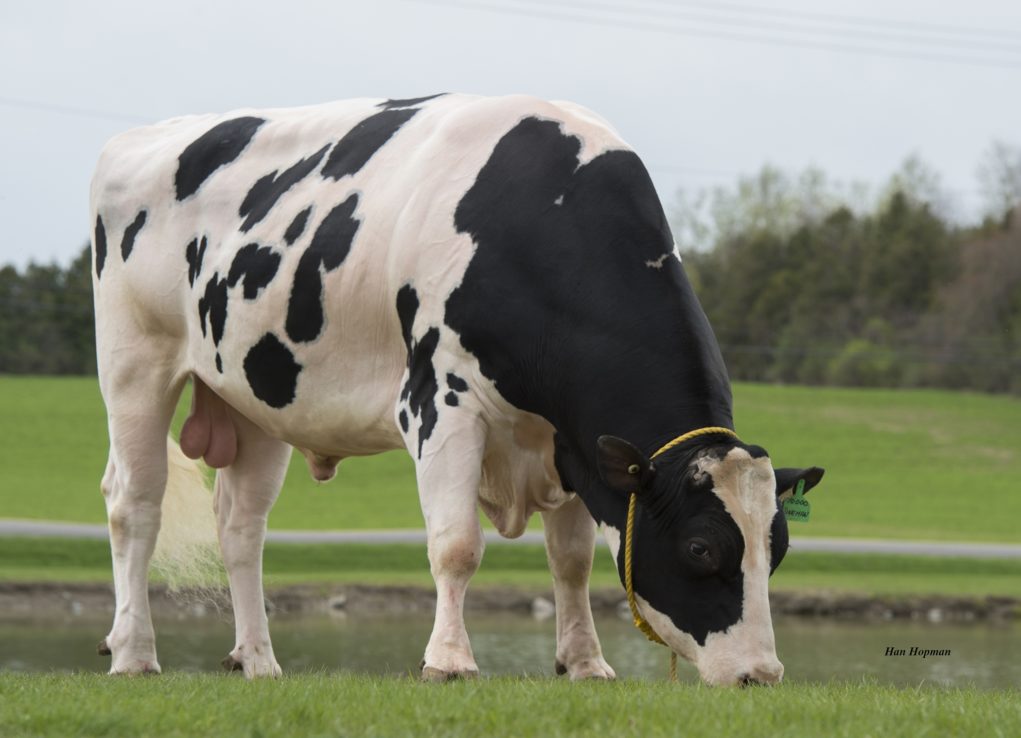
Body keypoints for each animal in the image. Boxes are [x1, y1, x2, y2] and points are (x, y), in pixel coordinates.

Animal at [89, 92, 820, 685]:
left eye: (777, 548)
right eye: (701, 548)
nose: (761, 674)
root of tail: (139, 137)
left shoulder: (571, 435)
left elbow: (572, 561)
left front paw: (584, 663)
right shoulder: (440, 402)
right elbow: (457, 545)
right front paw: (448, 660)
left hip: (255, 397)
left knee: (241, 527)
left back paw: (259, 660)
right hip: (134, 363)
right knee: (135, 504)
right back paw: (134, 652)